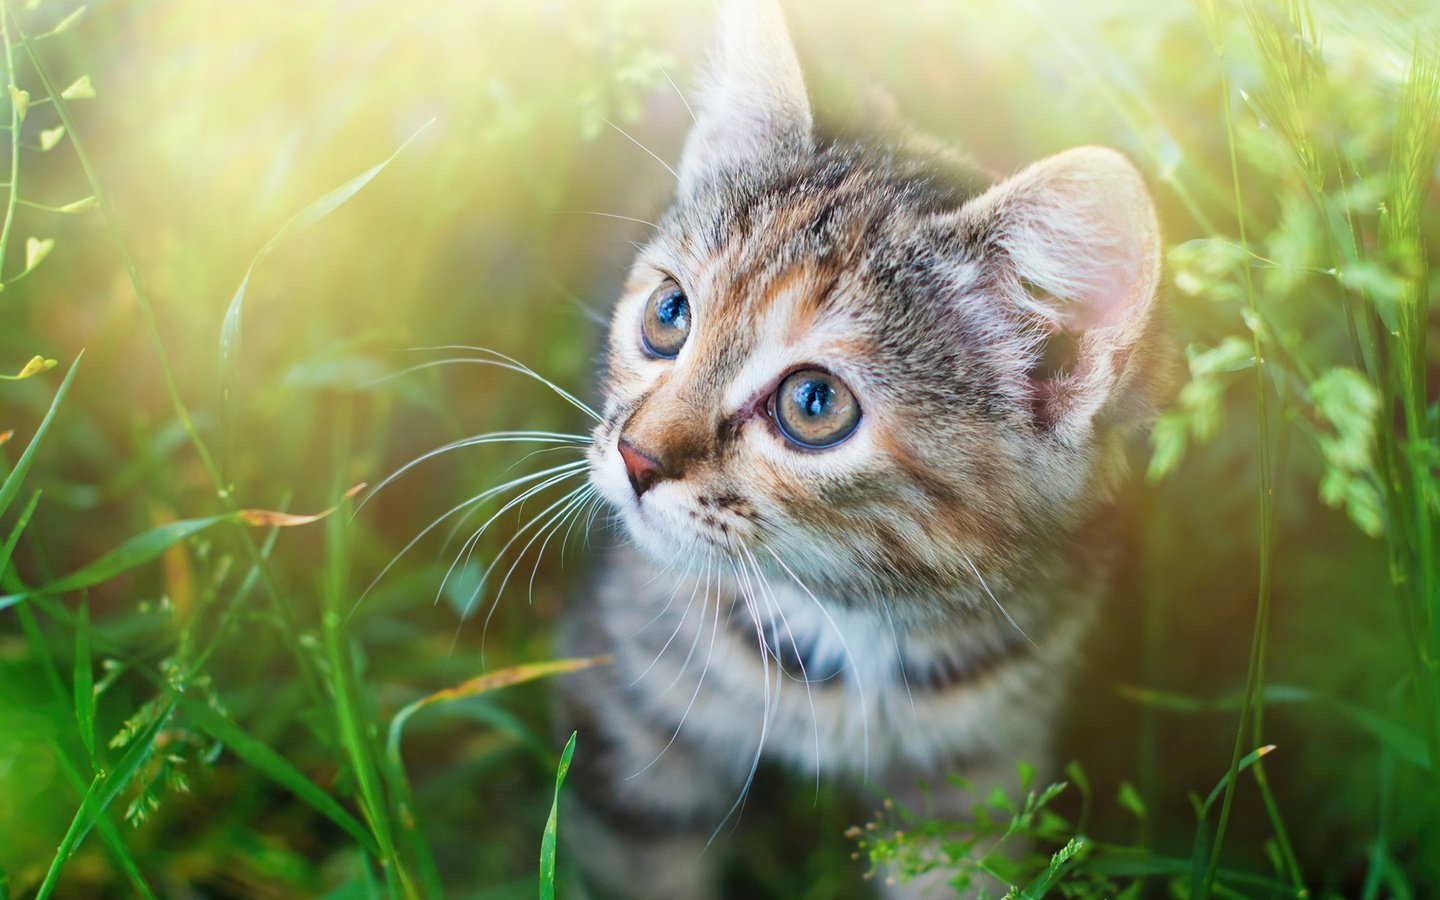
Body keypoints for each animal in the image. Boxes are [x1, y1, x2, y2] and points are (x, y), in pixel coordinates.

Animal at [555, 1, 1163, 892]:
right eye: (668, 315)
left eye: (814, 403)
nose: (635, 457)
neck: (851, 628)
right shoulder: (632, 717)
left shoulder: (975, 780)